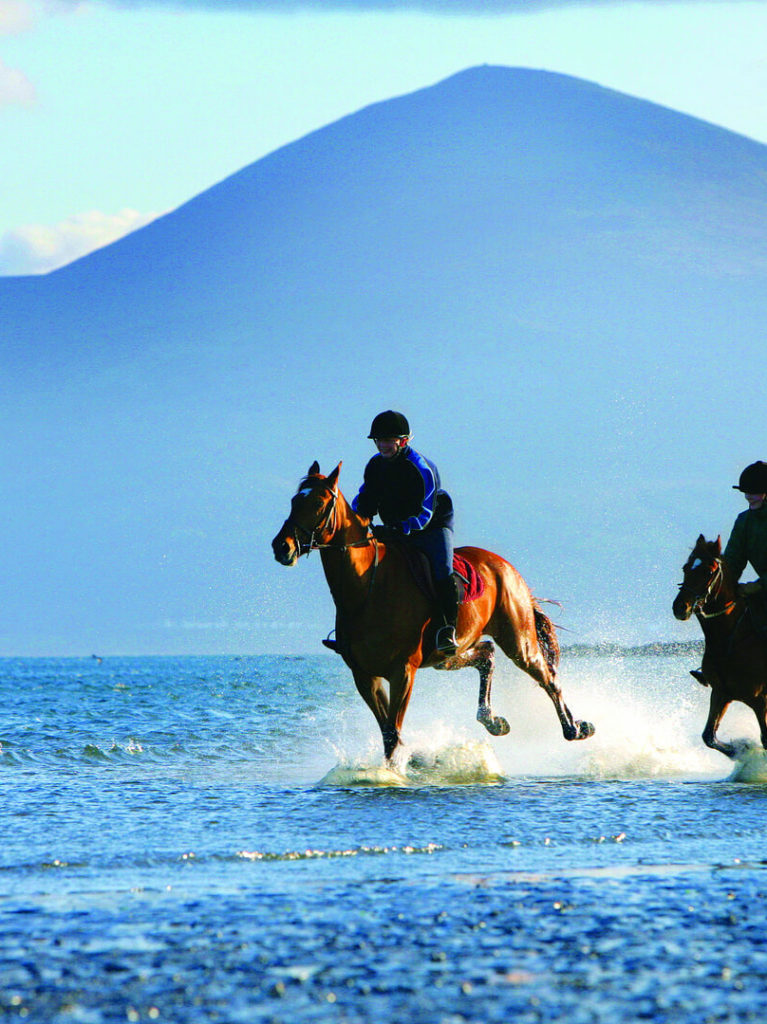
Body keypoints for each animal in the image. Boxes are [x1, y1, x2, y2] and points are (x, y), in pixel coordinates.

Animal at [271, 461, 594, 762]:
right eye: (293, 500)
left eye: (318, 503)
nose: (281, 547)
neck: (367, 588)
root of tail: (506, 568)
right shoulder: (364, 675)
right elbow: (388, 732)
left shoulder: (402, 672)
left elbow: (392, 732)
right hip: (447, 655)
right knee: (486, 654)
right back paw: (492, 720)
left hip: (518, 641)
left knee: (548, 678)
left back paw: (575, 728)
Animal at [673, 534, 767, 758]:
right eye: (686, 567)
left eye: (708, 571)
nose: (680, 608)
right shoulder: (721, 693)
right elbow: (708, 736)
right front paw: (742, 749)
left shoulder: (760, 699)